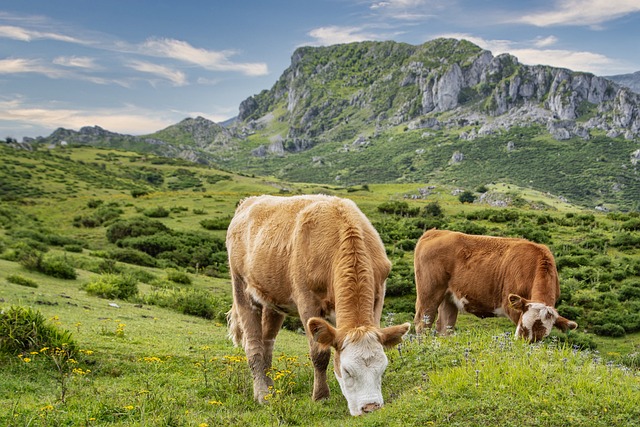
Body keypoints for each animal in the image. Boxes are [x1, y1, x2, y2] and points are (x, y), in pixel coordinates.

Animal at [224, 196, 410, 416]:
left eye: (382, 367)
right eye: (347, 370)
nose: (370, 407)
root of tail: (249, 201)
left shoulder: (379, 294)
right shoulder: (307, 301)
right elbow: (319, 354)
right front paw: (321, 396)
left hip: (273, 300)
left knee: (266, 344)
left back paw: (270, 389)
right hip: (241, 286)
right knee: (253, 346)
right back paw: (262, 395)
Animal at [412, 229, 576, 342]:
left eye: (542, 336)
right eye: (523, 328)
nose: (522, 345)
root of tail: (434, 232)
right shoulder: (513, 308)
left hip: (449, 298)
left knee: (444, 327)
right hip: (429, 293)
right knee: (423, 324)